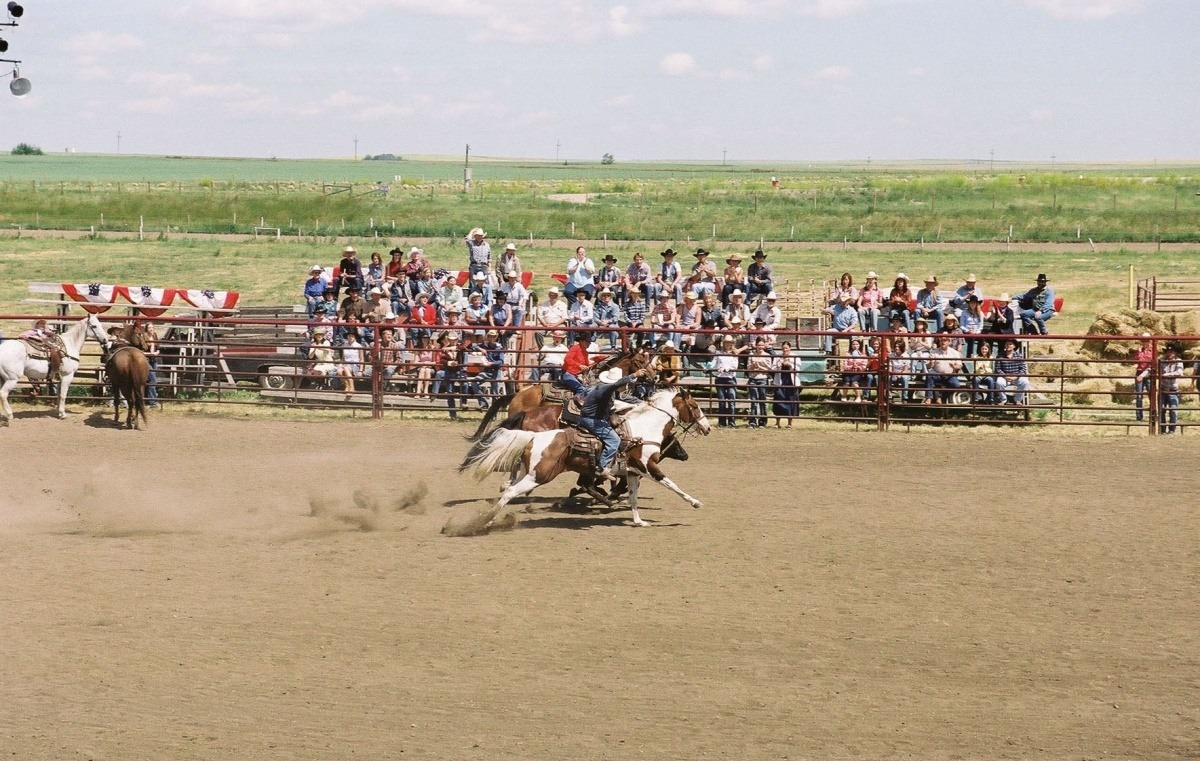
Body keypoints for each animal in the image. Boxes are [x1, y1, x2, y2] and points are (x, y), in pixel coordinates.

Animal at [453, 388, 705, 523]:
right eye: (694, 406)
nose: (706, 427)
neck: (643, 429)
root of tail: (533, 437)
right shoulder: (647, 467)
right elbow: (672, 485)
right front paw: (695, 502)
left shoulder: (632, 472)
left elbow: (632, 496)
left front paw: (638, 521)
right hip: (539, 475)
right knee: (511, 492)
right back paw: (488, 519)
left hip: (528, 471)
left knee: (509, 486)